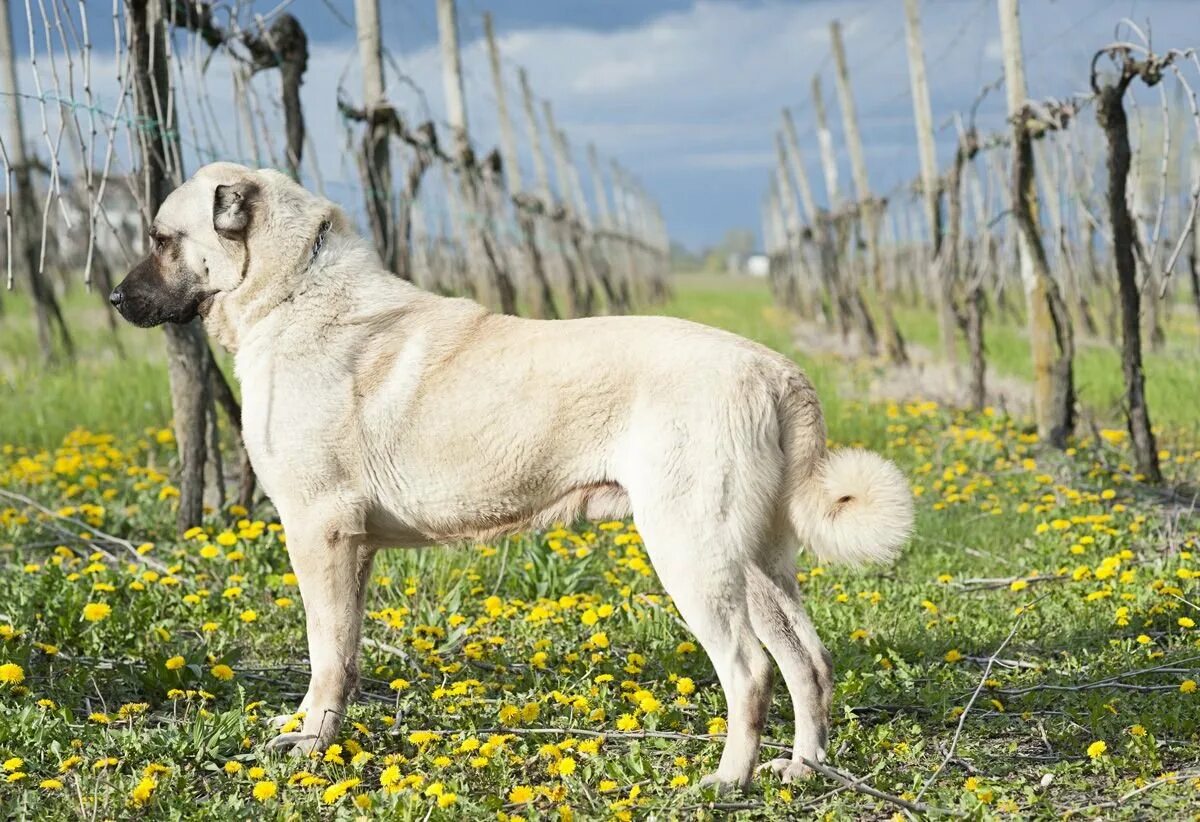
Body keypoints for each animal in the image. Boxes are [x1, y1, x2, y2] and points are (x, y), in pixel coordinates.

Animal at [112, 162, 912, 787]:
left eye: (161, 238)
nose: (115, 299)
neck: (290, 289)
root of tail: (777, 372)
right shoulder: (349, 550)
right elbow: (339, 652)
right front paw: (310, 731)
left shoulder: (321, 534)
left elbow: (325, 653)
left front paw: (312, 746)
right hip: (758, 562)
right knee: (809, 663)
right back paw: (801, 770)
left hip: (693, 554)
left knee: (749, 670)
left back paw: (728, 781)